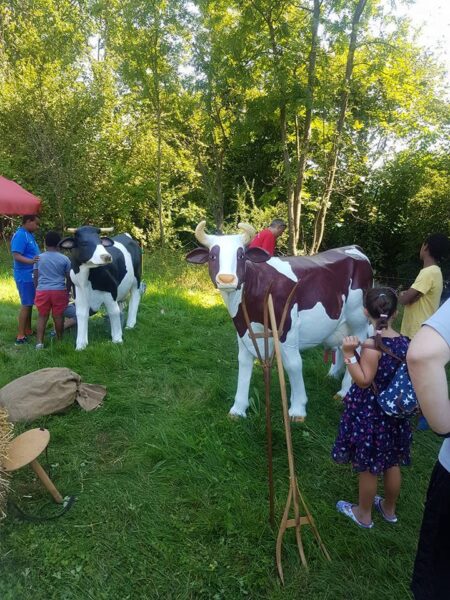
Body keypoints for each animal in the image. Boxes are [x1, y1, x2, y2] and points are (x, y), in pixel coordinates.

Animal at [186, 221, 373, 419]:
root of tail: (354, 247)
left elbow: (293, 364)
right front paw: (238, 408)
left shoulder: (288, 328)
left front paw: (298, 409)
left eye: (241, 255)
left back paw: (344, 391)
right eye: (213, 256)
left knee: (358, 345)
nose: (226, 279)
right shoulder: (243, 328)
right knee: (342, 345)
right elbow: (244, 363)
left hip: (358, 318)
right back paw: (332, 375)